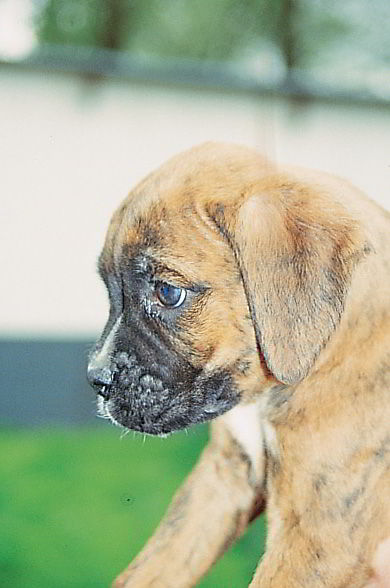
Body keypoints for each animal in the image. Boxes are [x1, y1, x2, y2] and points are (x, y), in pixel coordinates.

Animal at [87, 144, 388, 588]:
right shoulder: (221, 480)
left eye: (168, 292)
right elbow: (156, 564)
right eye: (110, 291)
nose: (97, 379)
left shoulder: (317, 535)